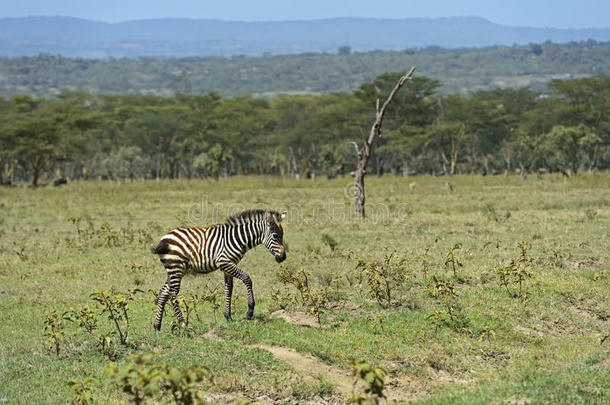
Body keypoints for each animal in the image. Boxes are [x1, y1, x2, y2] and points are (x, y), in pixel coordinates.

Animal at [151, 208, 286, 328]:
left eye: (282, 235)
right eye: (275, 235)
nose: (283, 257)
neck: (238, 238)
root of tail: (164, 238)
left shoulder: (229, 265)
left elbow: (229, 288)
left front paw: (228, 317)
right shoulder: (224, 262)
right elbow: (247, 279)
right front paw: (249, 311)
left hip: (175, 270)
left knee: (164, 293)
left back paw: (157, 326)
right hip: (176, 267)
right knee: (173, 294)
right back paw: (182, 324)